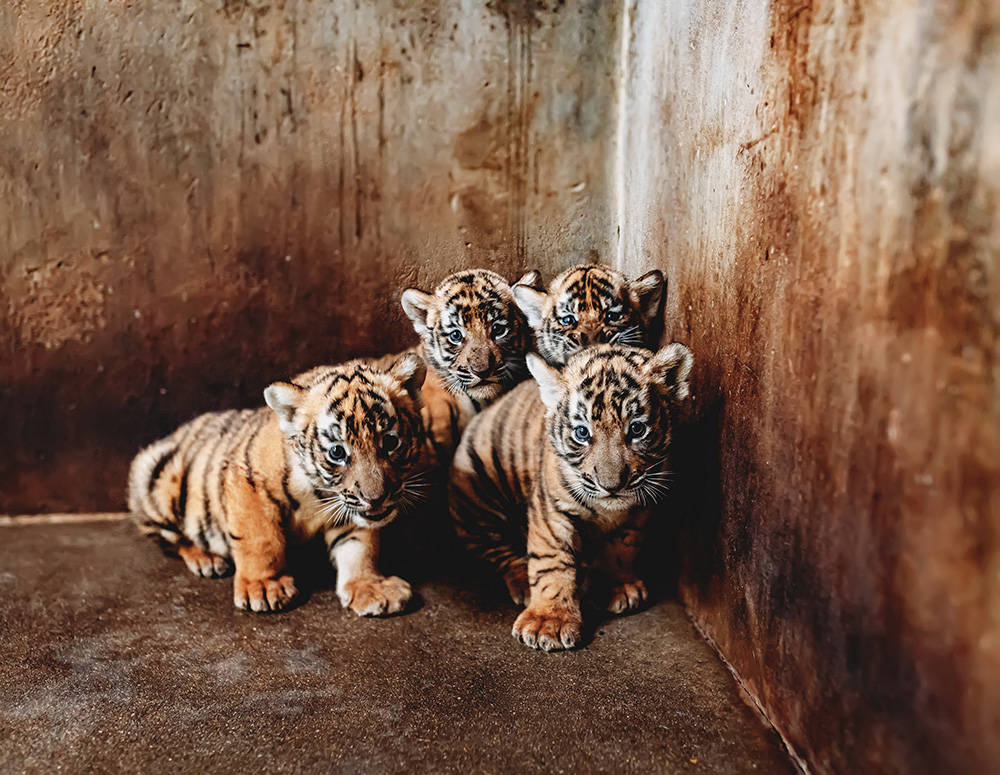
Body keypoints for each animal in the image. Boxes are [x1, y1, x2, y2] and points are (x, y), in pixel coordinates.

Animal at [127, 353, 432, 616]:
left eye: (390, 442)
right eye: (337, 452)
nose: (376, 498)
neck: (319, 494)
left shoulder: (350, 504)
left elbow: (359, 546)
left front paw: (370, 586)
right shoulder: (246, 479)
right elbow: (260, 539)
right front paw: (263, 587)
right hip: (152, 473)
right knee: (169, 538)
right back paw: (207, 559)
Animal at [449, 342, 694, 651]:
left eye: (637, 429)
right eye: (582, 433)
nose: (612, 485)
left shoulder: (642, 506)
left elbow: (622, 548)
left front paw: (616, 586)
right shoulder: (551, 512)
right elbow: (551, 563)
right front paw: (548, 622)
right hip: (478, 502)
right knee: (495, 550)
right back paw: (522, 583)